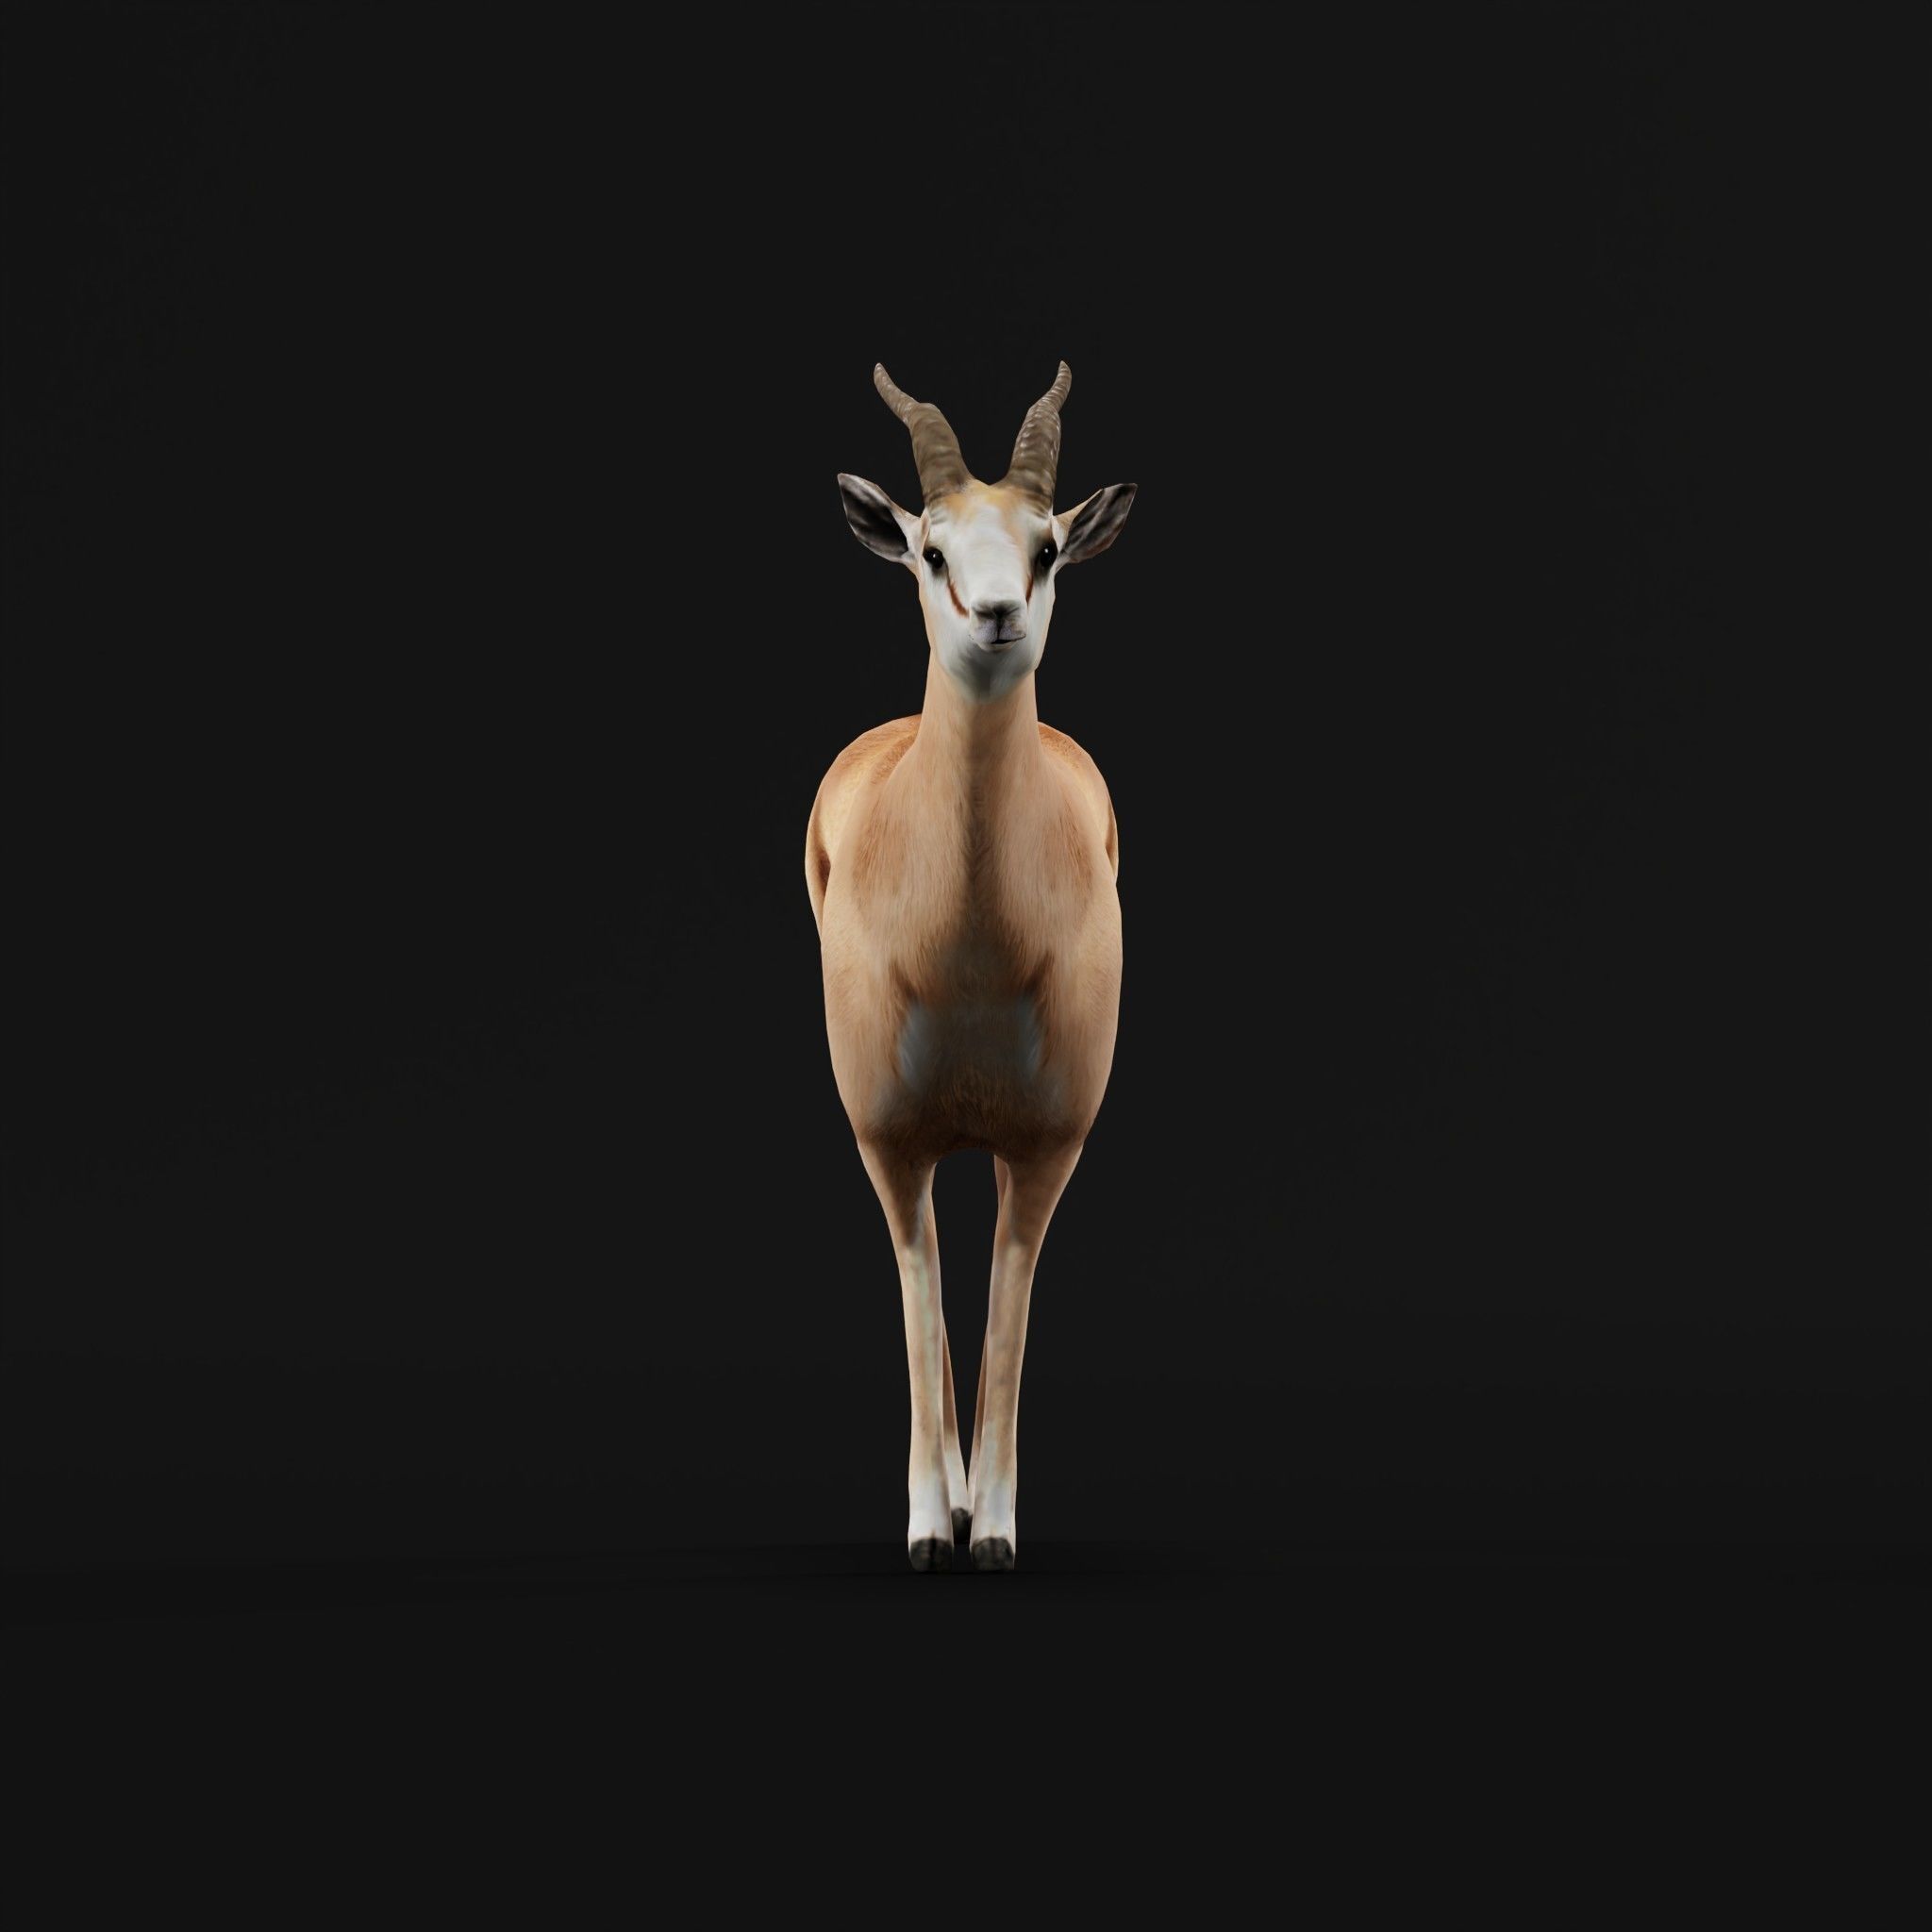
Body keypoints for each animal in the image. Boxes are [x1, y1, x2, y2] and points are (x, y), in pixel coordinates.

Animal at [806, 362, 1136, 1572]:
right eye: (931, 550)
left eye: (1045, 547)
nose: (995, 614)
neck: (969, 951)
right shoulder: (887, 1135)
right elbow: (920, 1298)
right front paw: (926, 1523)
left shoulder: (1046, 1142)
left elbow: (1004, 1305)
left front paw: (990, 1525)